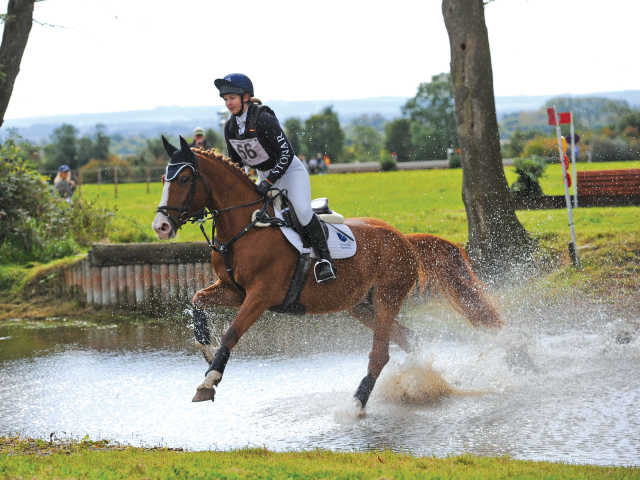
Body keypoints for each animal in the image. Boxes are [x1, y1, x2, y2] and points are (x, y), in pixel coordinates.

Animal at [151, 137, 500, 414]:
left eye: (185, 178)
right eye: (164, 178)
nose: (161, 226)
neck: (245, 227)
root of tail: (403, 238)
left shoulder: (260, 296)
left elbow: (232, 333)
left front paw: (209, 381)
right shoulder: (232, 290)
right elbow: (196, 301)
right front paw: (206, 351)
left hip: (387, 296)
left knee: (381, 352)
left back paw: (357, 403)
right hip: (361, 305)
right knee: (406, 338)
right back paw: (423, 383)